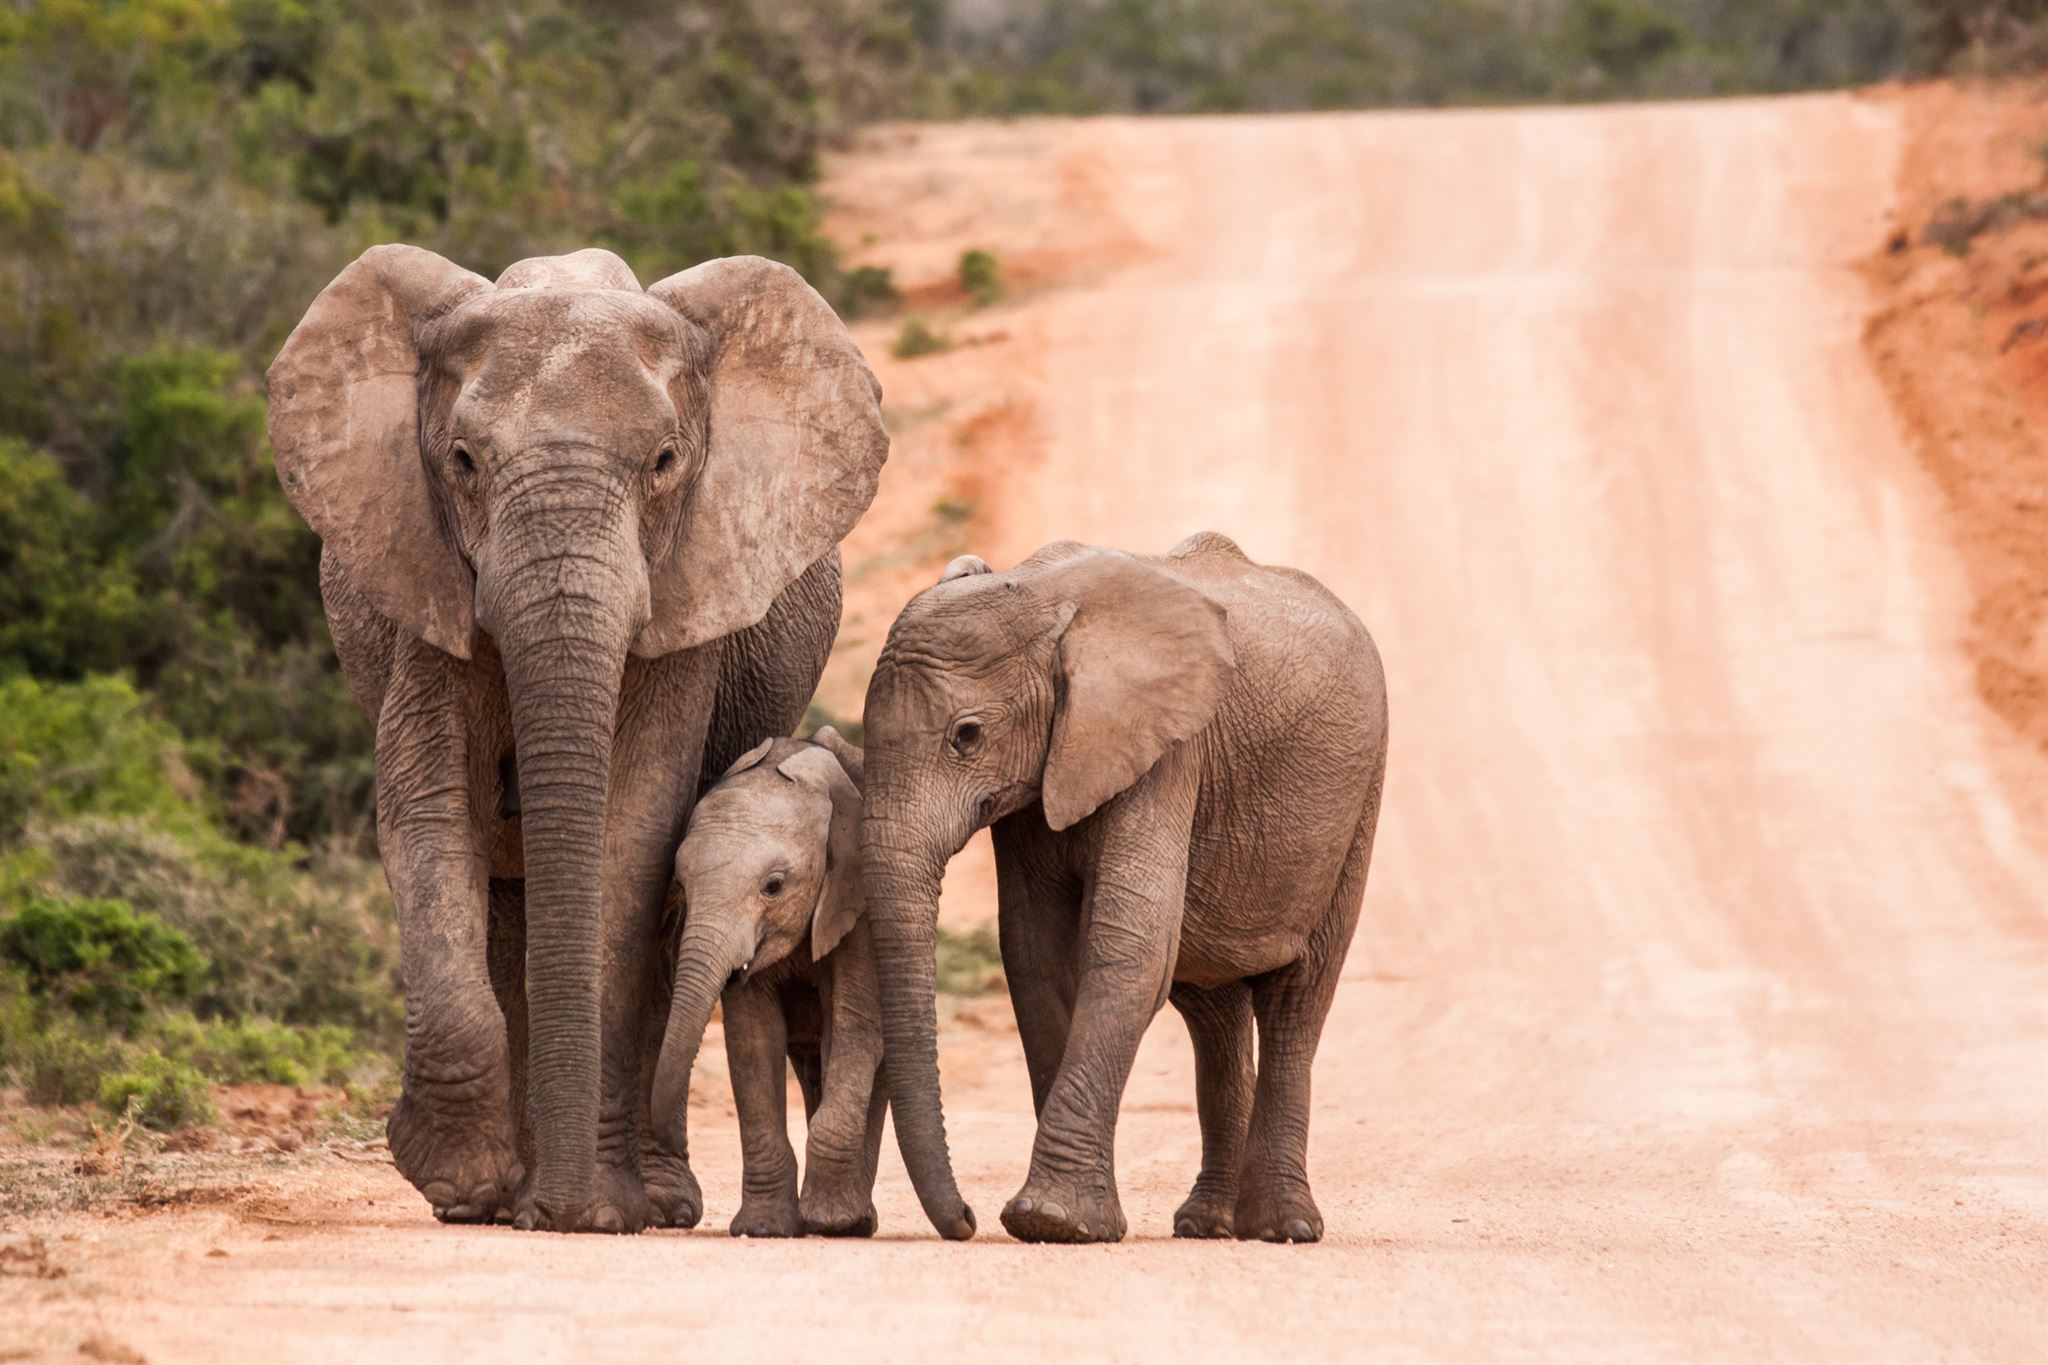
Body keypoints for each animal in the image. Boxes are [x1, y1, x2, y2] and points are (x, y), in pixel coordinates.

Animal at [649, 726, 886, 1238]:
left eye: (773, 886)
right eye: (681, 884)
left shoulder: (861, 904)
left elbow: (852, 1028)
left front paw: (831, 1221)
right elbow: (754, 1041)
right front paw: (763, 1228)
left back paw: (855, 1220)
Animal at [861, 533, 1387, 1245]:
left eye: (966, 736)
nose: (965, 1220)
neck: (1041, 597)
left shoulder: (1169, 751)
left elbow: (1127, 948)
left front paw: (1050, 1220)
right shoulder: (1044, 776)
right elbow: (1035, 956)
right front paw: (1064, 1220)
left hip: (1359, 802)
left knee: (1297, 1000)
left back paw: (1283, 1229)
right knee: (1213, 1012)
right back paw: (1205, 1224)